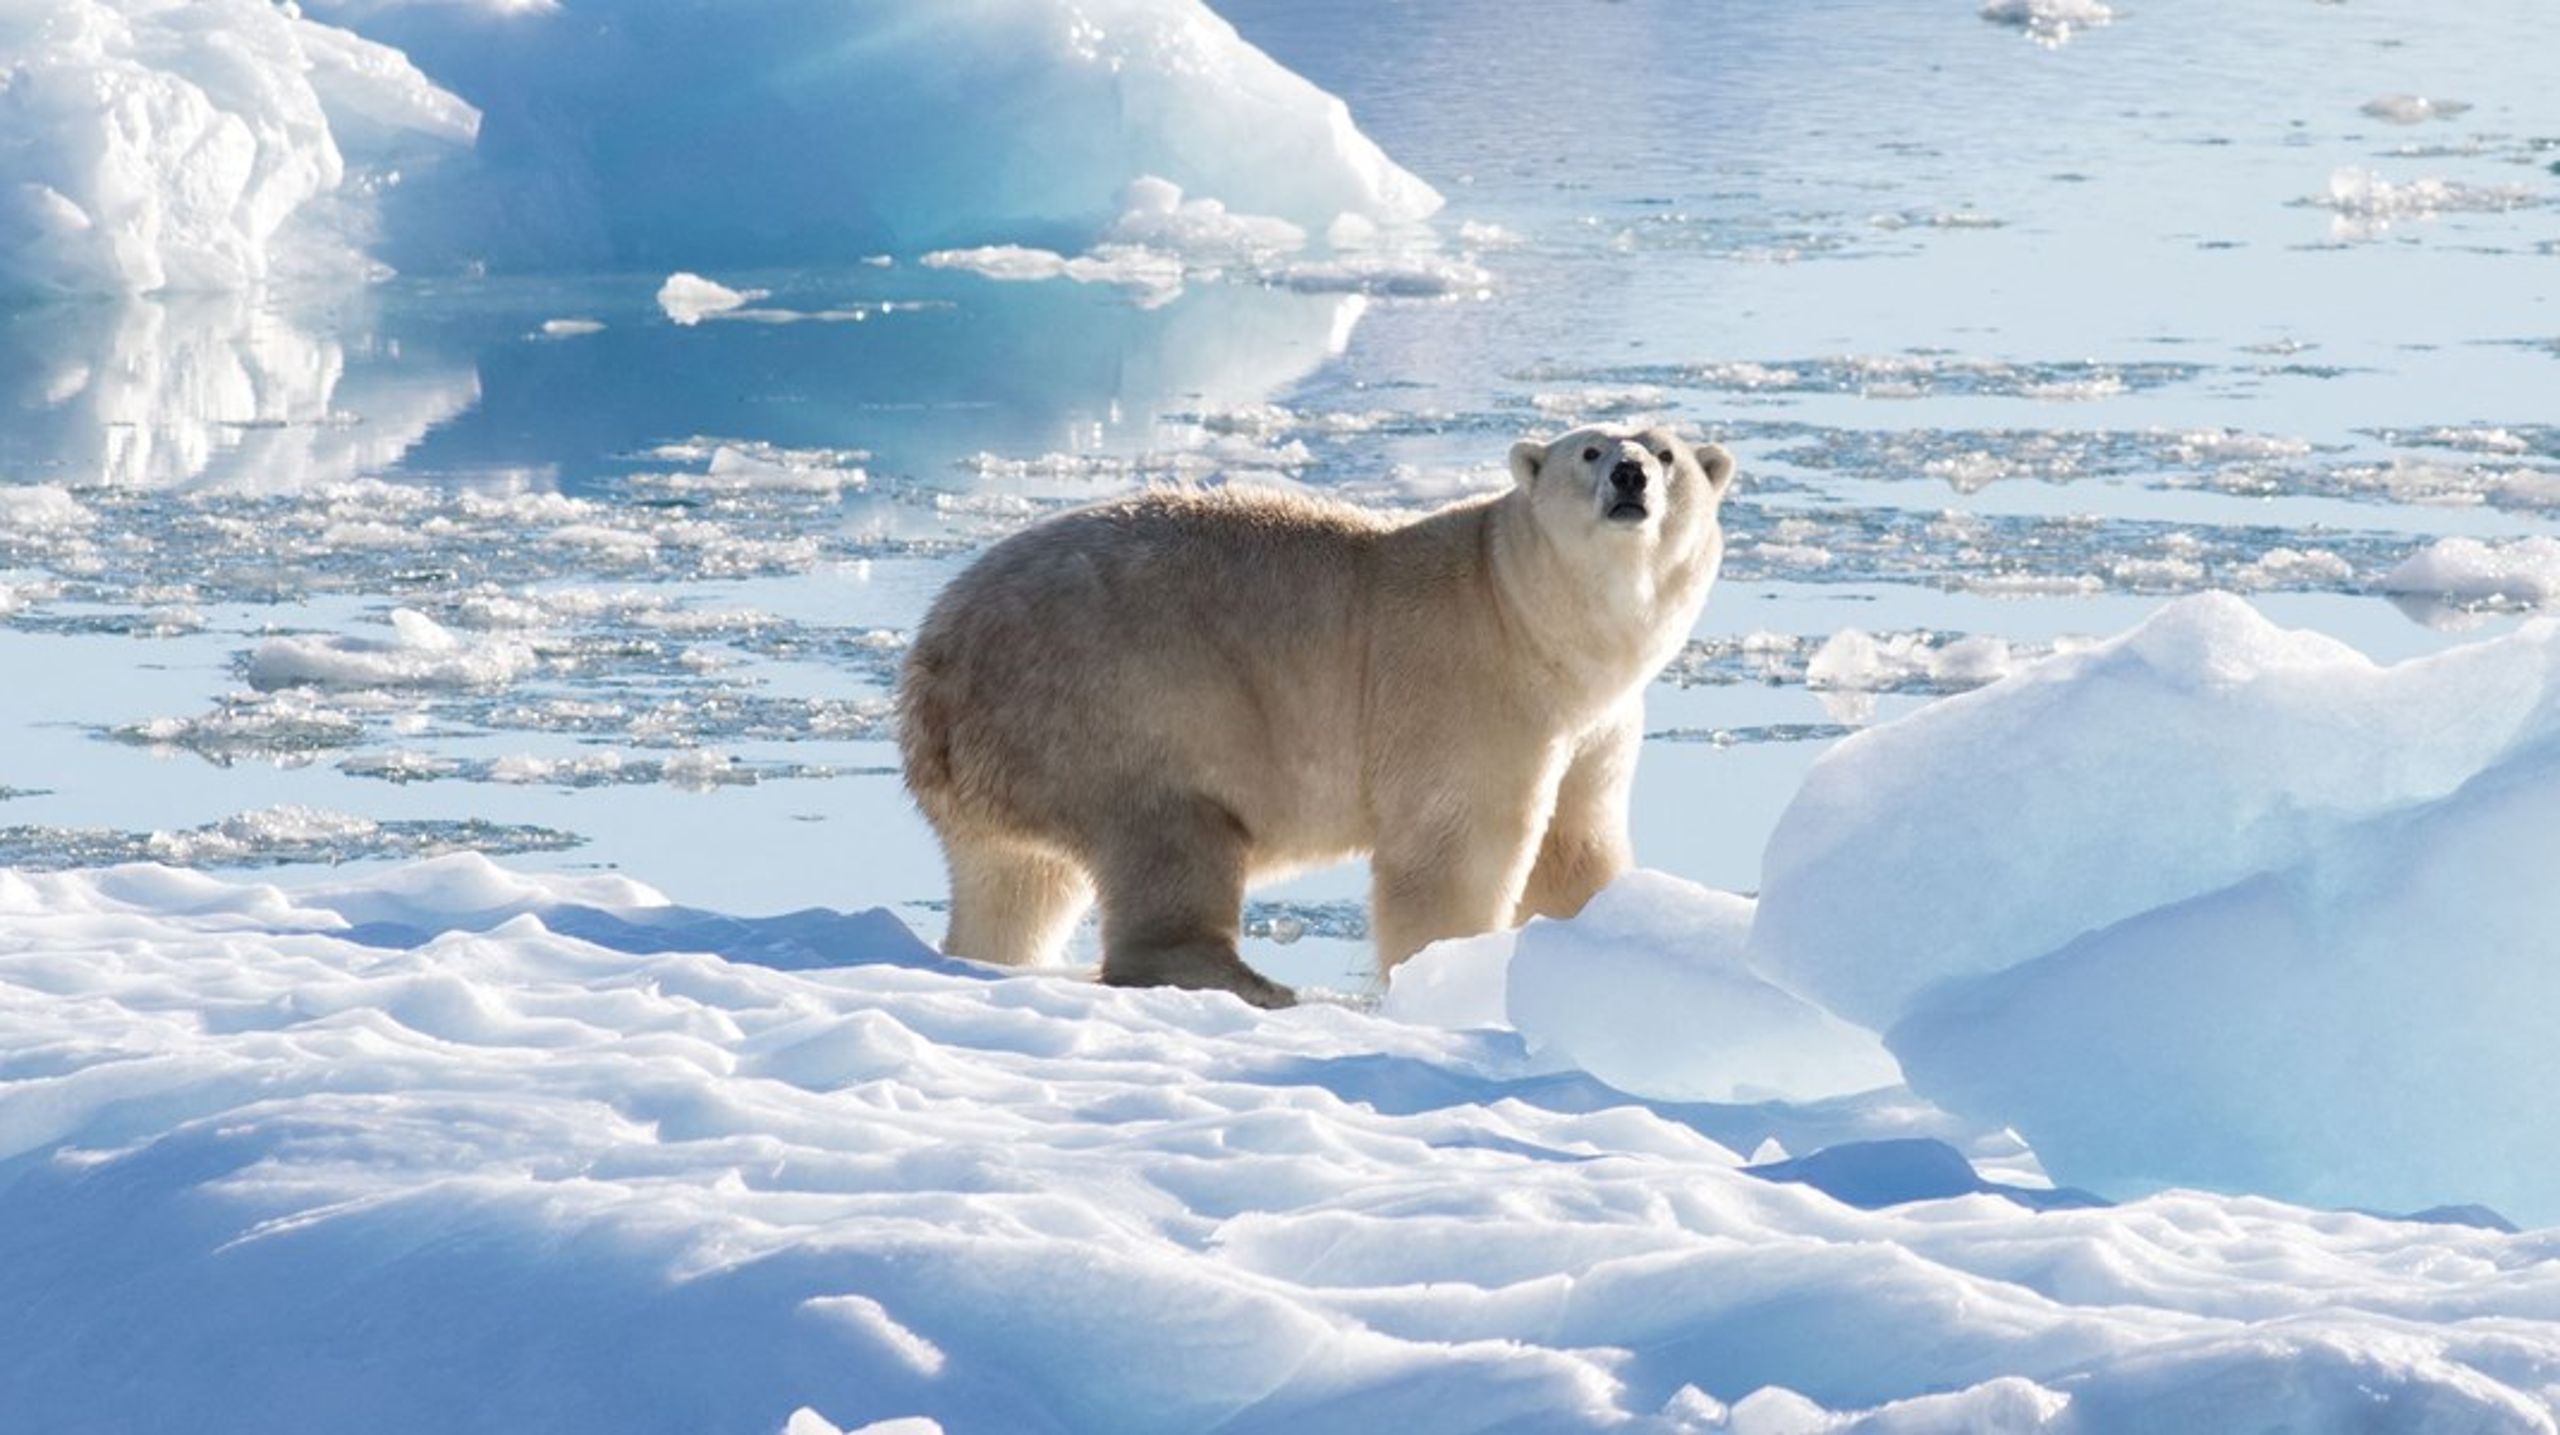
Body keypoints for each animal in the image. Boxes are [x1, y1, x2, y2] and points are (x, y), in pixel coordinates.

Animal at [901, 422, 1740, 1007]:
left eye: (1666, 452)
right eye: (1590, 450)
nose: (1630, 474)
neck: (1526, 613)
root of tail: (932, 666)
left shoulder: (1597, 724)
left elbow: (1576, 845)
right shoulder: (1468, 686)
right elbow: (1455, 849)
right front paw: (1450, 972)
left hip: (1011, 760)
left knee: (1016, 881)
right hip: (1116, 700)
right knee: (1169, 834)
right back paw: (1249, 980)